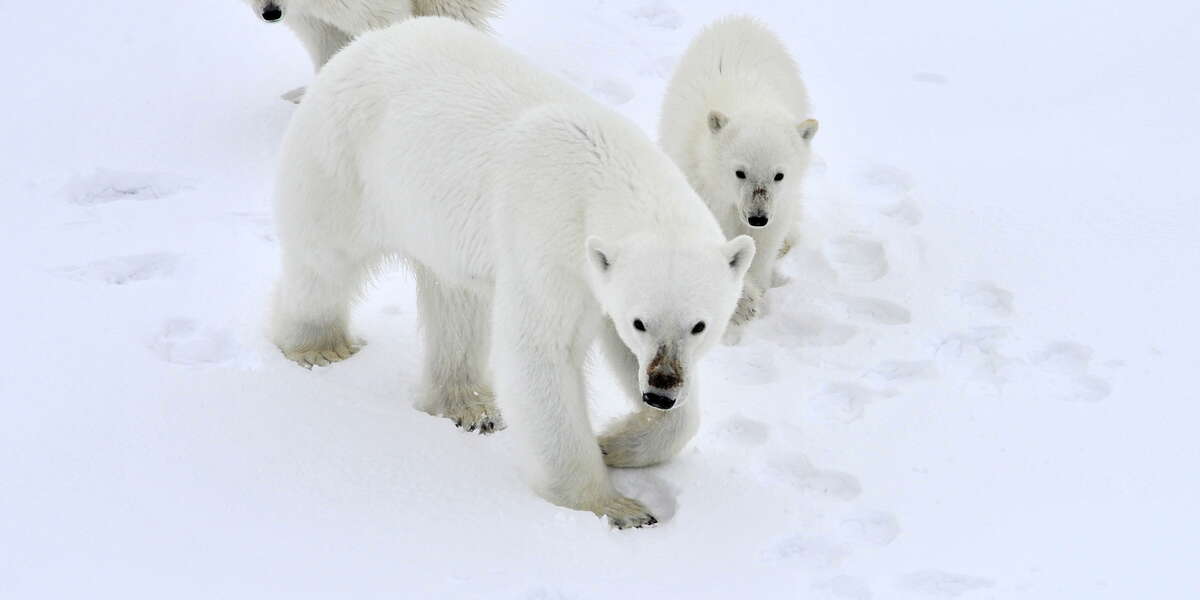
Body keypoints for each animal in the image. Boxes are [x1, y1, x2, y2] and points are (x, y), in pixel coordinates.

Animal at [269, 18, 754, 528]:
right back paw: (320, 347)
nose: (660, 392)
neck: (607, 170)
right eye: (640, 321)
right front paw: (616, 507)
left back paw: (470, 405)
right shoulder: (550, 242)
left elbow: (633, 364)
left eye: (700, 325)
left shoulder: (601, 279)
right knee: (324, 261)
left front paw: (615, 442)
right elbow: (541, 349)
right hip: (345, 160)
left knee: (456, 303)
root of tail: (363, 45)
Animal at [659, 16, 818, 327]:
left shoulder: (779, 202)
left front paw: (753, 292)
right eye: (739, 172)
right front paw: (741, 301)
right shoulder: (702, 180)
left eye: (779, 175)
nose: (757, 218)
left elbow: (766, 241)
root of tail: (740, 19)